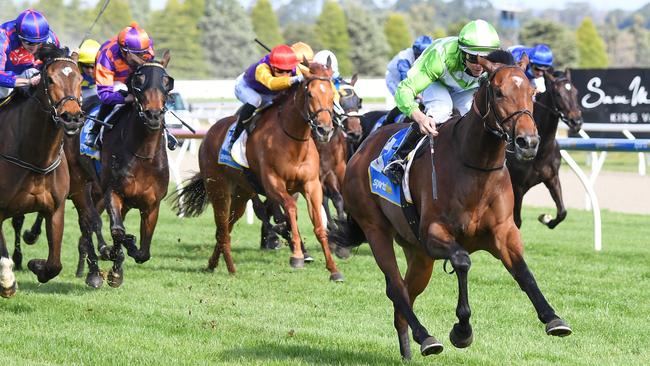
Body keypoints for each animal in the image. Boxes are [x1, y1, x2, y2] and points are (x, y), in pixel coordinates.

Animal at [0, 45, 84, 298]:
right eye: (50, 79)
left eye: (80, 79)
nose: (71, 117)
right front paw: (8, 282)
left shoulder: (55, 209)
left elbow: (54, 265)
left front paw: (35, 265)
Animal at [82, 50, 173, 288]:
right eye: (138, 80)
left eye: (167, 81)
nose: (153, 115)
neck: (144, 156)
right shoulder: (113, 192)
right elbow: (118, 231)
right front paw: (119, 250)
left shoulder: (151, 205)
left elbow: (143, 253)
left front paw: (117, 269)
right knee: (88, 223)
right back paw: (94, 271)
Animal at [172, 61, 344, 282]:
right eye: (310, 94)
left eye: (332, 94)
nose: (324, 130)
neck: (293, 141)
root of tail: (209, 132)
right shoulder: (273, 184)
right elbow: (290, 209)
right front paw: (297, 255)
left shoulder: (312, 186)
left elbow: (318, 226)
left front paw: (333, 269)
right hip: (219, 190)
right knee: (222, 227)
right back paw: (231, 267)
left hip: (241, 194)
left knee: (226, 228)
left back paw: (213, 264)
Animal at [330, 53, 568, 358]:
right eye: (499, 92)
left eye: (533, 92)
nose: (528, 142)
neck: (476, 167)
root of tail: (362, 148)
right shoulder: (434, 234)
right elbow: (462, 261)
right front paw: (462, 330)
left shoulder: (504, 232)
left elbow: (524, 273)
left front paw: (553, 318)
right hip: (376, 229)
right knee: (396, 288)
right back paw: (426, 337)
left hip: (418, 254)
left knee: (406, 293)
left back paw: (408, 351)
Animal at [506, 68, 584, 227]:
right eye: (558, 94)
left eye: (575, 91)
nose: (576, 121)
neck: (540, 152)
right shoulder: (517, 187)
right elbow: (516, 221)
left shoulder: (552, 178)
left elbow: (562, 212)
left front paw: (546, 218)